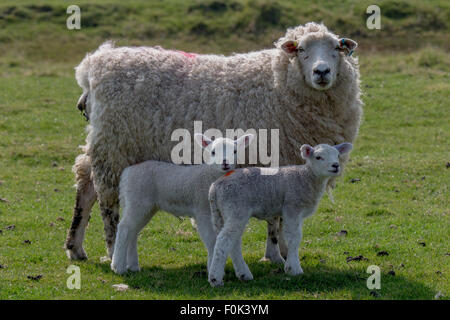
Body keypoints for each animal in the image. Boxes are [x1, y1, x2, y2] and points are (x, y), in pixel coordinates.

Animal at [110, 132, 253, 276]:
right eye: (213, 152)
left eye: (234, 151)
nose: (225, 163)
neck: (210, 175)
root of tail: (126, 173)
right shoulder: (202, 211)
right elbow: (211, 240)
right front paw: (211, 268)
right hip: (137, 200)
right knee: (124, 228)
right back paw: (118, 267)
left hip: (144, 205)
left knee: (132, 231)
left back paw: (133, 266)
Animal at [209, 141, 354, 286]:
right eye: (318, 157)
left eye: (337, 155)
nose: (335, 166)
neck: (306, 177)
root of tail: (215, 187)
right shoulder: (292, 207)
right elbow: (294, 237)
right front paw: (294, 269)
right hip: (236, 208)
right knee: (224, 240)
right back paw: (215, 279)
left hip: (221, 213)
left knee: (232, 241)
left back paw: (243, 274)